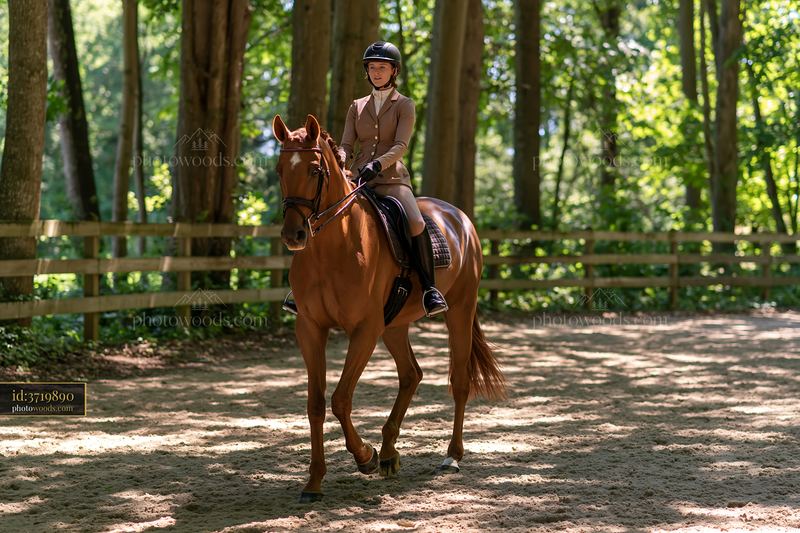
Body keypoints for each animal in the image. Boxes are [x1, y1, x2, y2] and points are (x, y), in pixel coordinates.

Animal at [272, 113, 505, 503]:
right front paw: (314, 482)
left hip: (460, 310)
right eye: (279, 170)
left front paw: (364, 456)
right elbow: (316, 404)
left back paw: (450, 457)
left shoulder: (365, 330)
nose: (294, 236)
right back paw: (389, 453)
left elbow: (340, 399)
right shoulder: (310, 329)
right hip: (395, 325)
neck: (332, 249)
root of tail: (458, 216)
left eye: (315, 170)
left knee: (458, 381)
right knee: (411, 374)